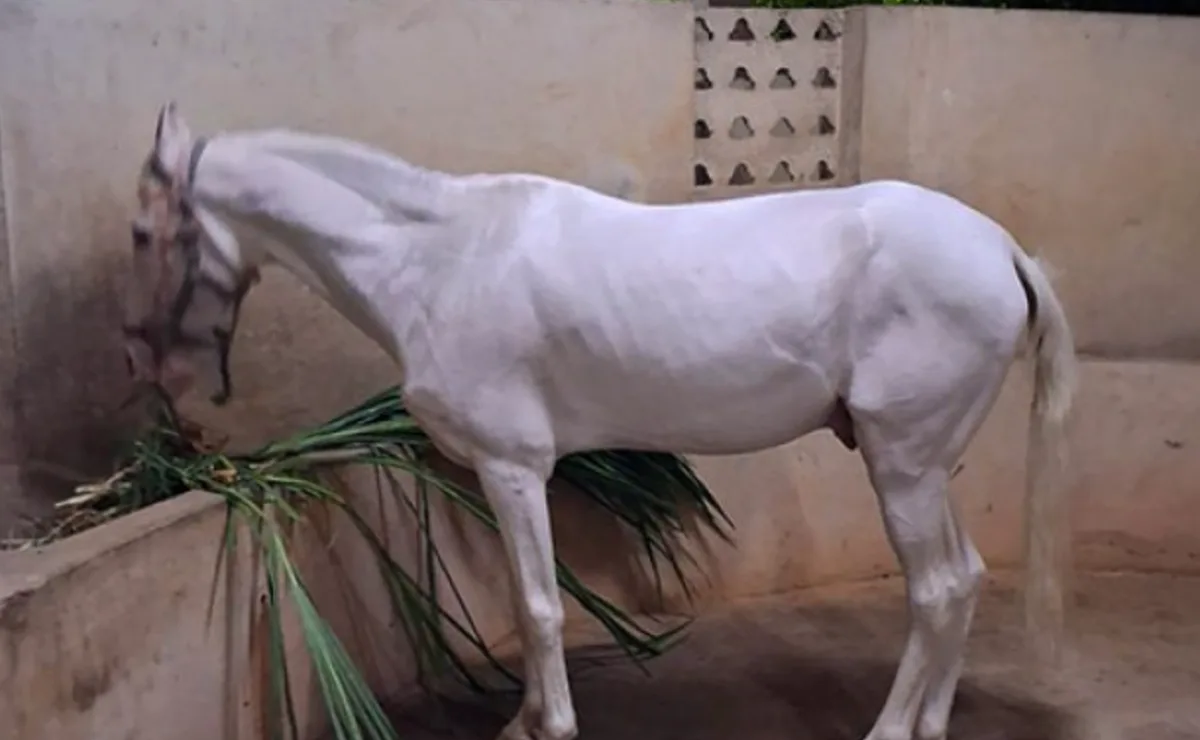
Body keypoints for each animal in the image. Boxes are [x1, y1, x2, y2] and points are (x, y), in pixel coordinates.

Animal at [120, 101, 1076, 740]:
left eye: (138, 233)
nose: (148, 371)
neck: (439, 260)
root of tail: (1001, 247)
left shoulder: (512, 466)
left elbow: (541, 606)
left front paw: (549, 726)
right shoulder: (502, 473)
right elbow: (524, 597)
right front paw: (524, 721)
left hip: (901, 466)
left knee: (936, 589)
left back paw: (887, 730)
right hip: (921, 465)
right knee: (964, 581)